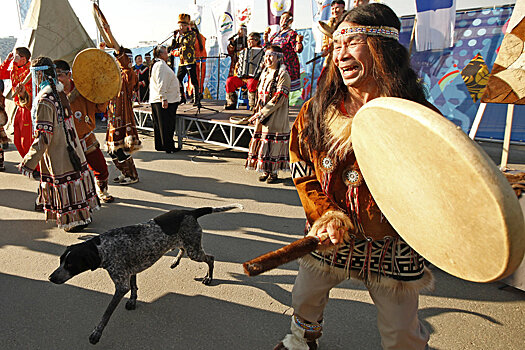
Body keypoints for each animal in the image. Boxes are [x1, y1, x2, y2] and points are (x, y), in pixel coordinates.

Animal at [49, 204, 242, 344]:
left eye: (70, 264)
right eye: (60, 261)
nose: (50, 278)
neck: (102, 247)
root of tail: (190, 212)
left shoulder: (121, 285)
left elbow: (106, 314)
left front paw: (97, 333)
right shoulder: (131, 271)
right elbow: (134, 288)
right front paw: (133, 301)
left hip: (194, 251)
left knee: (210, 258)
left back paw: (208, 277)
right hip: (187, 244)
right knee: (182, 249)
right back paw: (176, 261)